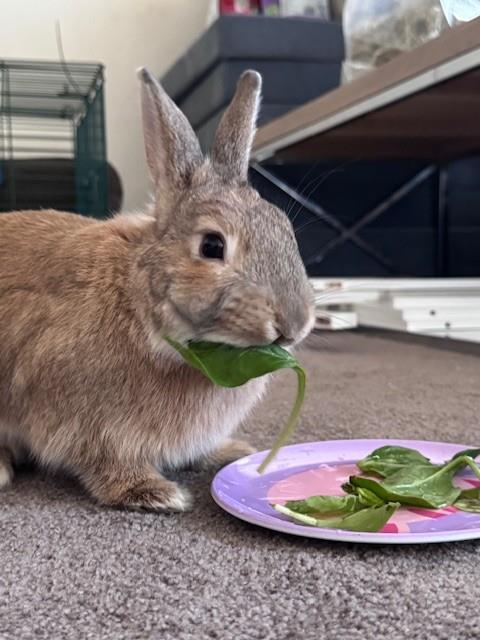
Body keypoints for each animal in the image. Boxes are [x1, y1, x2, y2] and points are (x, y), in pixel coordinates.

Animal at [0, 68, 315, 511]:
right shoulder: (85, 424)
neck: (137, 301)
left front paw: (231, 452)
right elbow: (102, 463)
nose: (294, 324)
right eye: (212, 245)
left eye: (285, 229)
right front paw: (155, 493)